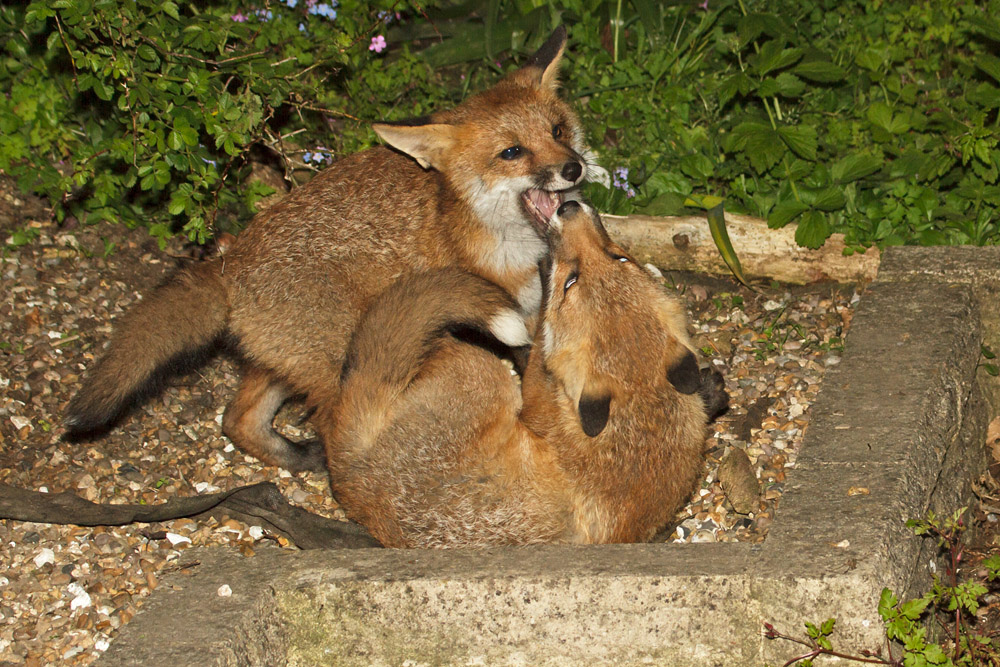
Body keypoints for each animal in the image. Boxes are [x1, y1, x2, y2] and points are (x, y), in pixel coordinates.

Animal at [64, 27, 608, 472]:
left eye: (558, 131)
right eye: (512, 152)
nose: (573, 168)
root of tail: (229, 260)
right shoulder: (506, 314)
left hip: (286, 363)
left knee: (235, 419)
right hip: (341, 359)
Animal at [320, 201, 728, 547]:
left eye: (570, 282)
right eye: (621, 256)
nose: (569, 206)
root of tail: (354, 466)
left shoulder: (533, 404)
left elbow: (536, 358)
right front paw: (710, 391)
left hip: (482, 371)